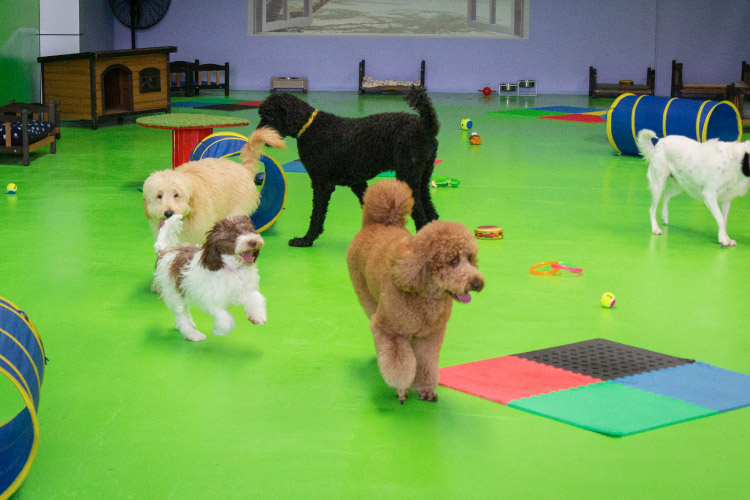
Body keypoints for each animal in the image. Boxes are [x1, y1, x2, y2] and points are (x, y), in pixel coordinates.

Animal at [153, 213, 268, 342]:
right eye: (235, 235)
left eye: (250, 231)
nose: (253, 242)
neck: (232, 268)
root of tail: (165, 251)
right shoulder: (212, 302)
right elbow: (226, 321)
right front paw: (218, 331)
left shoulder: (247, 290)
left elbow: (256, 299)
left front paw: (257, 316)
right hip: (173, 294)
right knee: (181, 317)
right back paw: (193, 335)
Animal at [258, 89, 440, 248]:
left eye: (270, 116)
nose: (258, 134)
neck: (309, 127)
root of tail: (425, 126)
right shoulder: (357, 183)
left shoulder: (322, 184)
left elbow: (316, 215)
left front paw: (306, 239)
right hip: (422, 180)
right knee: (431, 212)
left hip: (407, 176)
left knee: (421, 215)